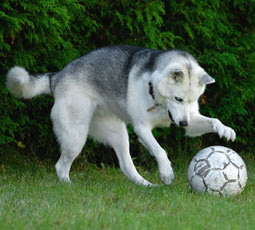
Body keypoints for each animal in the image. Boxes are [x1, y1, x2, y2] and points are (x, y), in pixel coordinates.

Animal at [5, 45, 236, 187]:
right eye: (178, 99)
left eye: (193, 100)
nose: (182, 122)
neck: (157, 95)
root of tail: (58, 76)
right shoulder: (142, 129)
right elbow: (160, 151)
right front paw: (166, 172)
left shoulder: (190, 122)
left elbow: (213, 121)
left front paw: (225, 130)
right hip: (75, 138)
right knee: (61, 166)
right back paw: (68, 185)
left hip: (118, 134)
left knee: (126, 166)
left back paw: (146, 186)